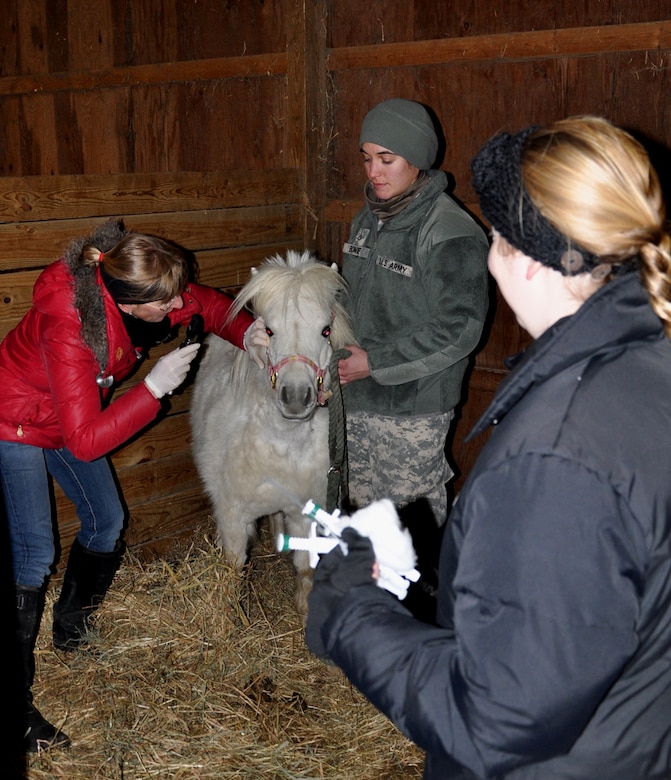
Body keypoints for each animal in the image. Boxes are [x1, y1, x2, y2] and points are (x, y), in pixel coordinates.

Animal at [189, 250, 356, 616]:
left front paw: (305, 610)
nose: (296, 397)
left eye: (325, 330)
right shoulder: (233, 517)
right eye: (268, 330)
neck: (284, 447)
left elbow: (306, 567)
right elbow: (233, 572)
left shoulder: (307, 512)